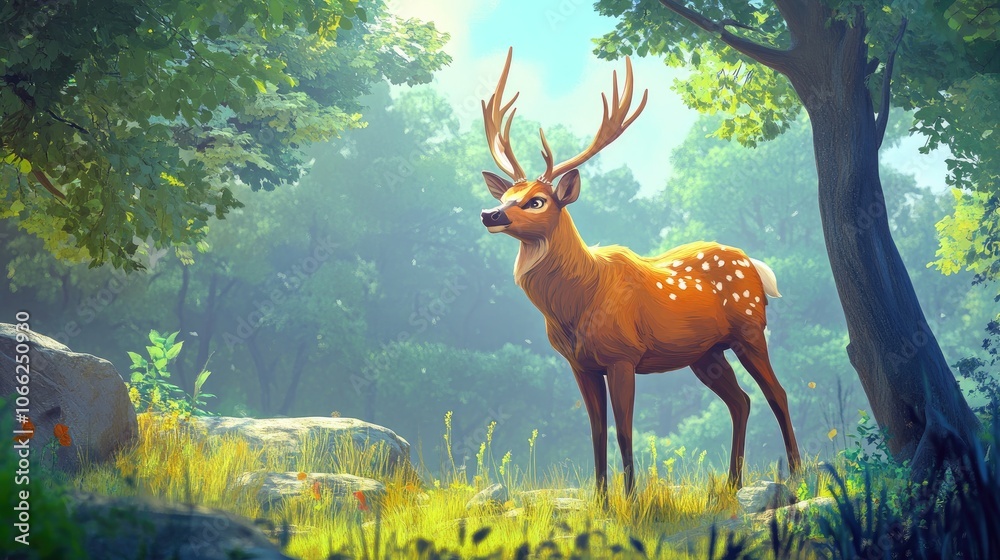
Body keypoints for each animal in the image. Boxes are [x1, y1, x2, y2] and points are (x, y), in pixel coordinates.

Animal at [478, 48, 801, 497]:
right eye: (506, 195)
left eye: (536, 201)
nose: (489, 214)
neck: (576, 303)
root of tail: (754, 264)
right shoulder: (580, 364)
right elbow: (596, 432)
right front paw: (601, 500)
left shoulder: (622, 354)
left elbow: (625, 431)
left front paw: (631, 499)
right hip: (706, 352)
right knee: (741, 400)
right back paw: (731, 483)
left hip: (750, 328)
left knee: (778, 393)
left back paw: (798, 475)